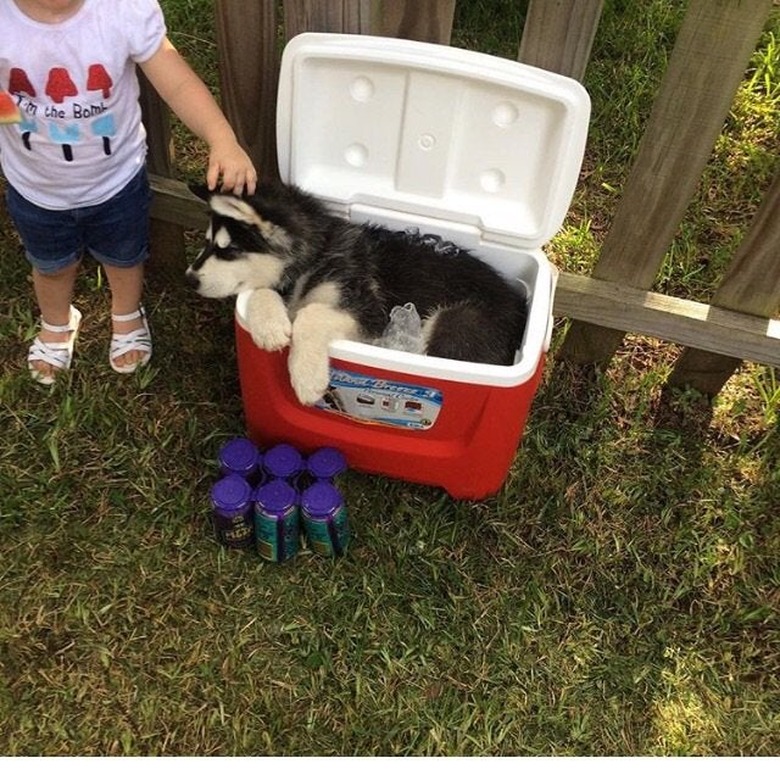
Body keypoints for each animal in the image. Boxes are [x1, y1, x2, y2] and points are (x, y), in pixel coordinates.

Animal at [187, 182, 532, 404]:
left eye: (228, 250)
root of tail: (521, 305)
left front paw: (307, 379)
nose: (189, 279)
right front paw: (270, 329)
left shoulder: (369, 312)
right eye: (207, 243)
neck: (316, 257)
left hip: (458, 324)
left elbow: (310, 315)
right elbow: (263, 292)